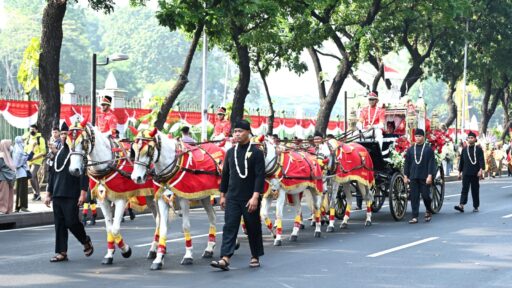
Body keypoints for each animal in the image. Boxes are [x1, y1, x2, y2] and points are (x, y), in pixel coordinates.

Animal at [67, 120, 154, 264]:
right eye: (68, 142)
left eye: (83, 142)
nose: (74, 170)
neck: (107, 165)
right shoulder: (103, 200)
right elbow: (109, 228)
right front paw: (109, 254)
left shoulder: (120, 199)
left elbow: (115, 229)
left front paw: (126, 250)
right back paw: (154, 250)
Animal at [130, 128, 220, 270]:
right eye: (133, 150)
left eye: (149, 150)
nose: (136, 178)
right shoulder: (161, 199)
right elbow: (163, 227)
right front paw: (158, 258)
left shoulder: (184, 198)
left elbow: (185, 226)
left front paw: (188, 255)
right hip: (205, 195)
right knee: (213, 217)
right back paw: (209, 249)